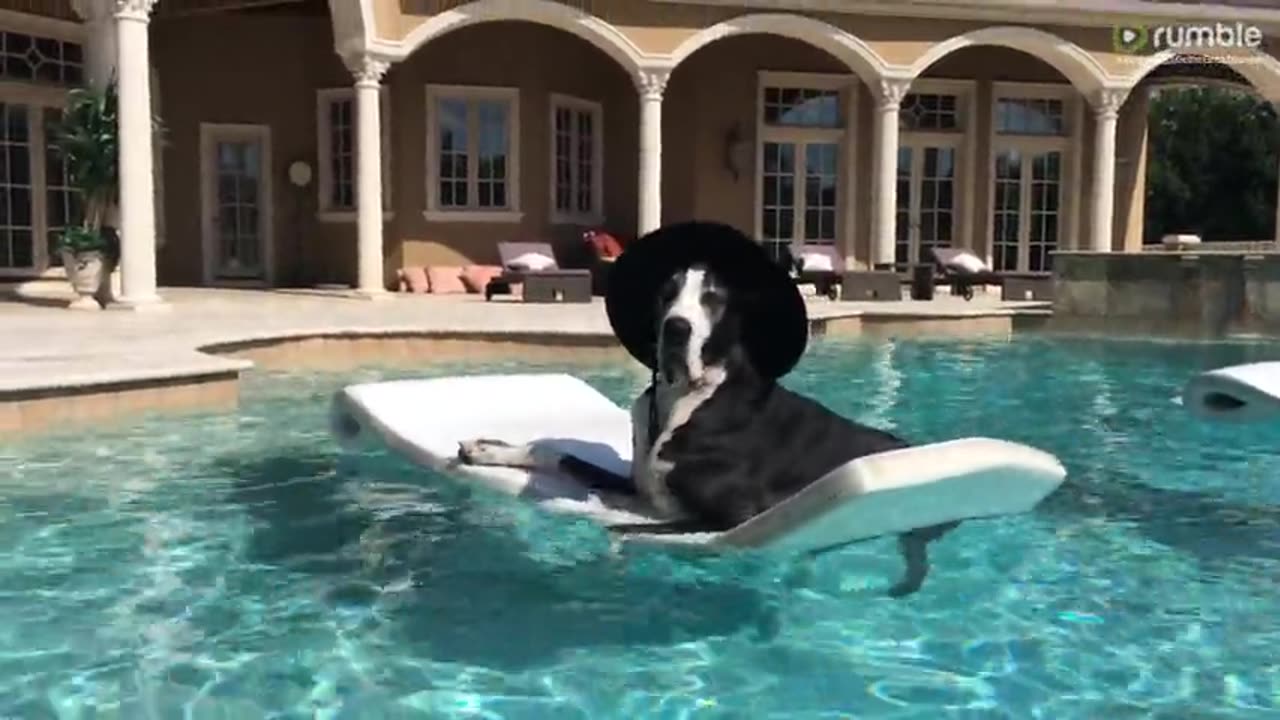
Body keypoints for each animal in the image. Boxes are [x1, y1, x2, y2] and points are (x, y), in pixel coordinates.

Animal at [455, 260, 957, 591]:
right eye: (666, 294)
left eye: (714, 299)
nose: (676, 329)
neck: (686, 399)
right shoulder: (639, 486)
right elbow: (558, 454)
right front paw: (488, 448)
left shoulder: (734, 516)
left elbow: (619, 532)